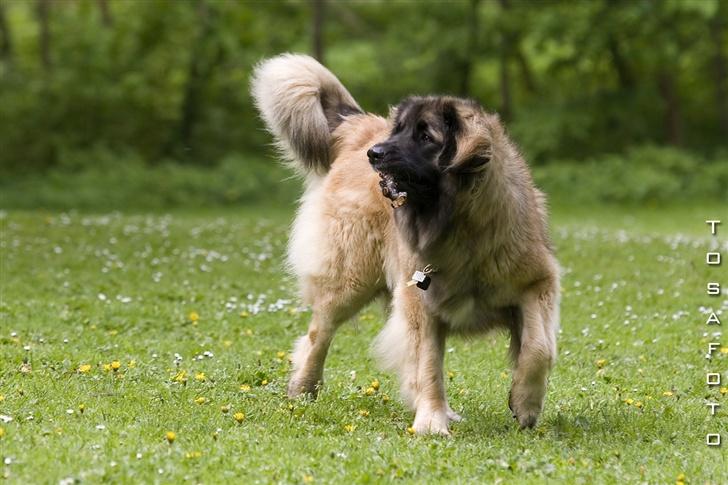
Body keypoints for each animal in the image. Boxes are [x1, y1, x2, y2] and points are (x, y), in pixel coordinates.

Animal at [253, 54, 560, 434]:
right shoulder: (420, 301)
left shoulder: (538, 282)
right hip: (350, 282)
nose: (375, 154)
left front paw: (525, 403)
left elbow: (538, 348)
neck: (460, 227)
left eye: (426, 136)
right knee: (318, 333)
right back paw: (303, 386)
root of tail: (363, 130)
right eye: (398, 130)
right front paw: (431, 422)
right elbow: (427, 364)